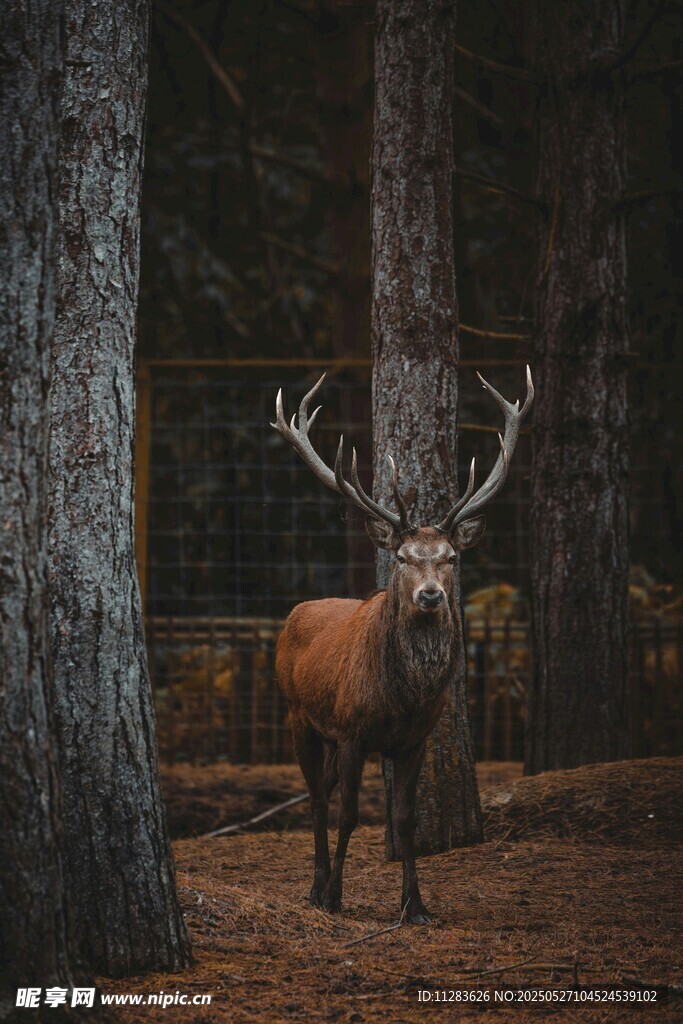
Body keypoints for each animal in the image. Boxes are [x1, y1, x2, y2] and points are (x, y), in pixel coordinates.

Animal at [271, 367, 533, 923]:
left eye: (452, 557)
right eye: (403, 557)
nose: (430, 595)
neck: (402, 698)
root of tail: (295, 613)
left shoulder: (414, 739)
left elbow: (406, 819)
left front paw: (415, 905)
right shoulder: (352, 730)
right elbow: (350, 815)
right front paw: (336, 897)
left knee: (324, 790)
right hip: (299, 714)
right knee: (317, 799)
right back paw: (316, 887)